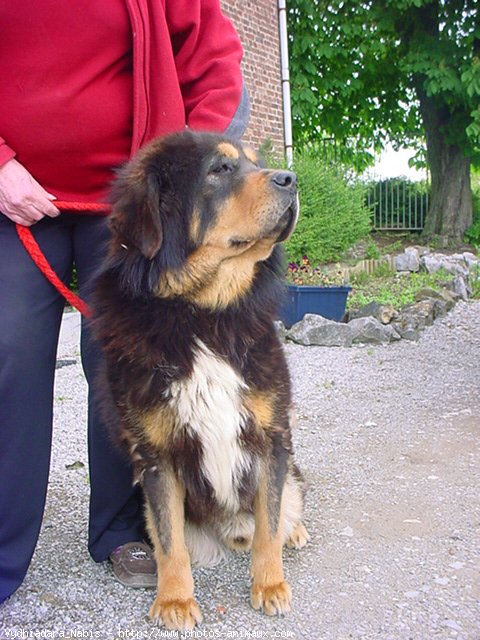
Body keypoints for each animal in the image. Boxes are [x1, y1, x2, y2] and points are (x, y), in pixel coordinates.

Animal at [93, 130, 310, 632]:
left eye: (256, 162)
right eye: (220, 170)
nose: (291, 179)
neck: (204, 314)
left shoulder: (272, 437)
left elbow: (269, 521)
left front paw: (269, 584)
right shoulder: (156, 455)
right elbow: (170, 540)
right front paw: (174, 599)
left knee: (288, 501)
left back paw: (296, 531)